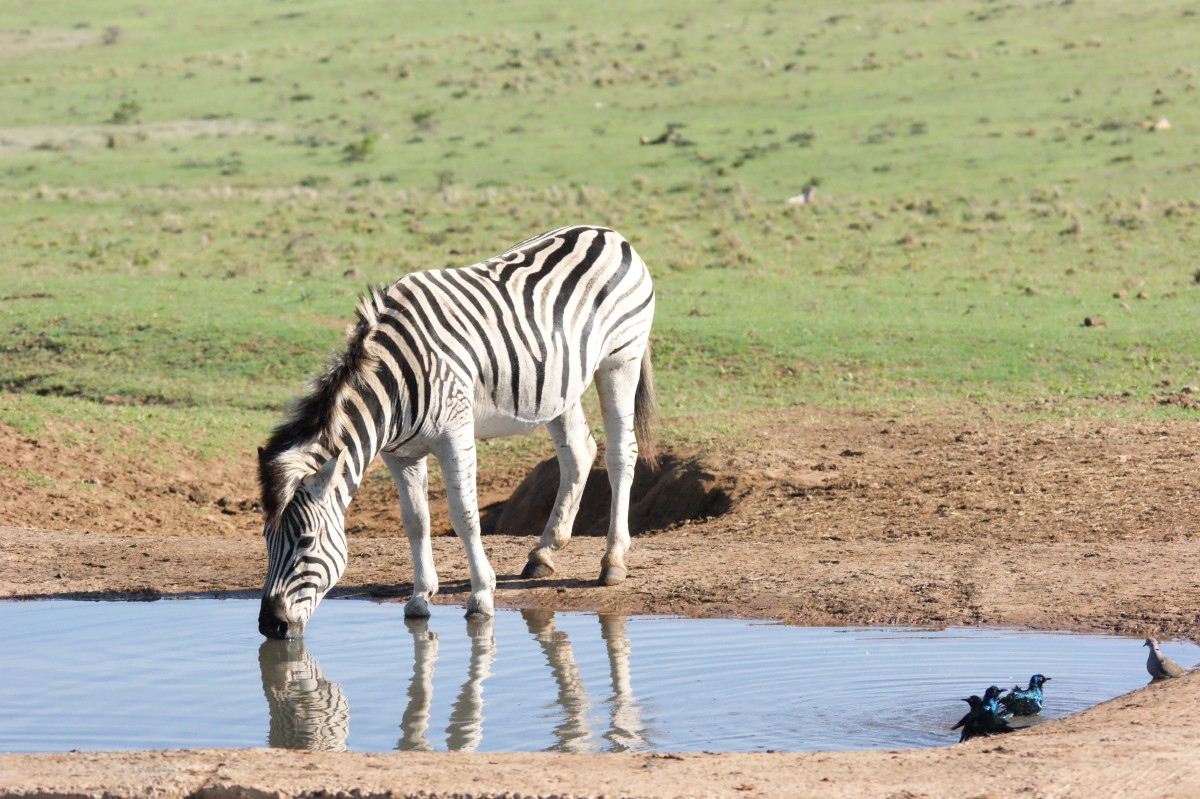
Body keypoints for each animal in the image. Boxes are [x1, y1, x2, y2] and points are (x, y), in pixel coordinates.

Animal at [256, 221, 662, 633]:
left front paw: (481, 595)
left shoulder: (455, 433)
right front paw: (419, 598)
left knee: (620, 454)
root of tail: (607, 232)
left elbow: (464, 515)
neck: (393, 382)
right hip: (559, 384)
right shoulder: (400, 454)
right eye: (265, 538)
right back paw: (543, 554)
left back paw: (613, 562)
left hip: (620, 360)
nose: (270, 625)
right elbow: (415, 520)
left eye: (306, 541)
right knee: (578, 452)